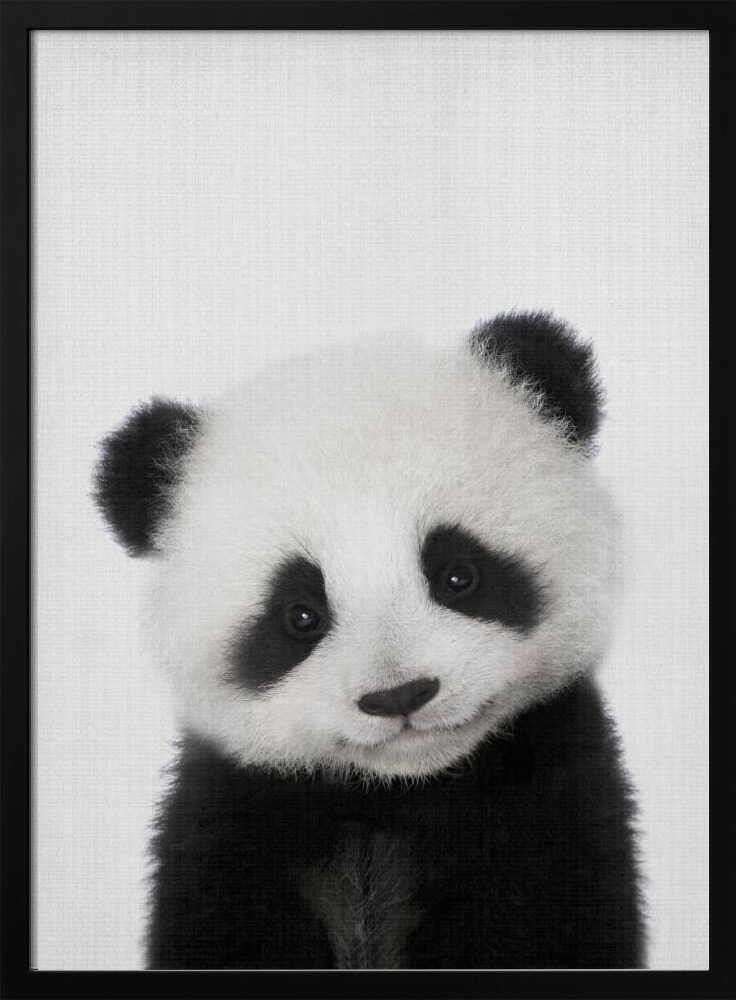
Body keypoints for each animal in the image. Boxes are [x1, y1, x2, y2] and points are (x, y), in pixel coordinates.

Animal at [94, 311, 643, 969]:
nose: (399, 696)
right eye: (301, 614)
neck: (394, 794)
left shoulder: (548, 800)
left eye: (458, 575)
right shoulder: (233, 820)